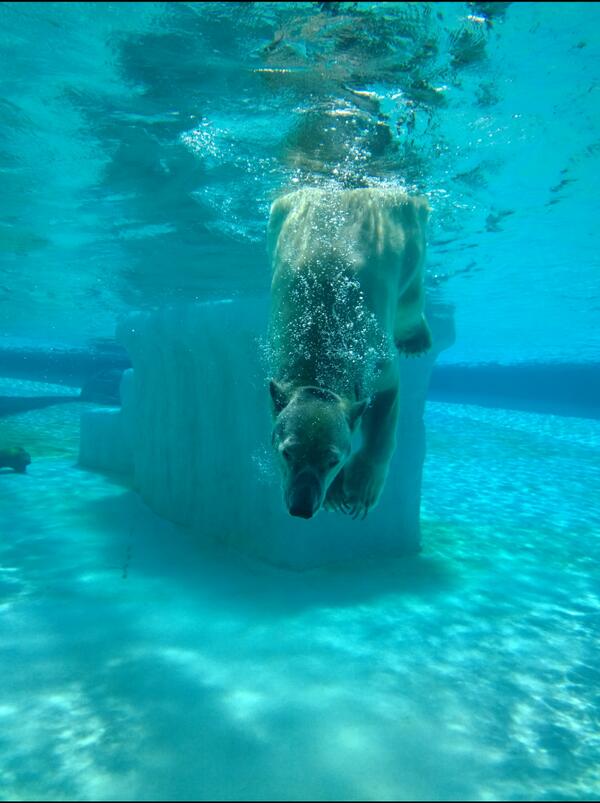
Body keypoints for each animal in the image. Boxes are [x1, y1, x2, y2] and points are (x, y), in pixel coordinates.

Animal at [267, 187, 431, 519]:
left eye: (333, 459)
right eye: (287, 452)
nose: (301, 507)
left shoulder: (376, 361)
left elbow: (385, 412)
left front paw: (360, 490)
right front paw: (334, 496)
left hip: (411, 244)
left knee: (410, 303)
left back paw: (415, 341)